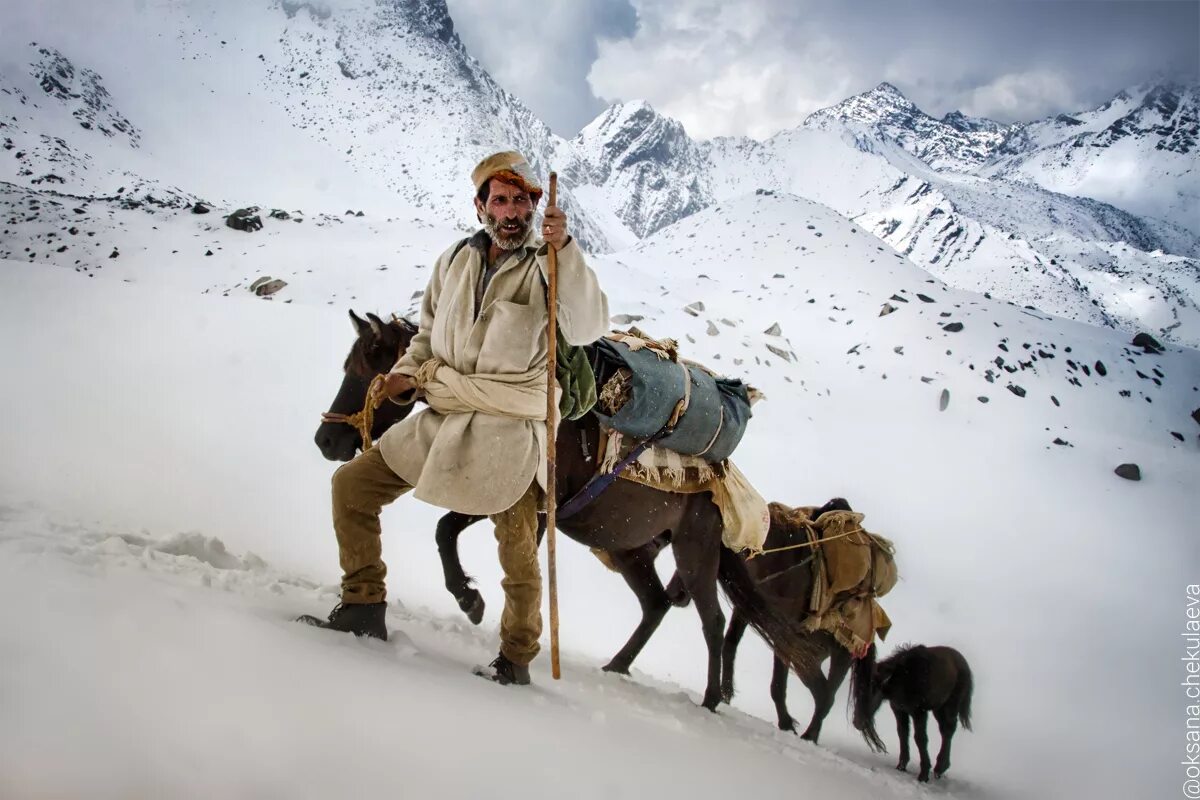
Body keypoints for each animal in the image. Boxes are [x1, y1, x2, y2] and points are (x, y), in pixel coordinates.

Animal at [312, 311, 825, 705]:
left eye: (368, 368)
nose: (326, 440)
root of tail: (722, 477)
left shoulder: (528, 505)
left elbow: (450, 531)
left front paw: (472, 602)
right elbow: (448, 532)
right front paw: (473, 602)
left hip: (694, 551)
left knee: (712, 621)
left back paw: (711, 698)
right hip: (629, 549)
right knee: (656, 604)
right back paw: (617, 665)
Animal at [849, 642, 979, 782]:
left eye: (871, 691)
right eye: (857, 690)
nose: (857, 722)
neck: (903, 678)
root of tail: (963, 663)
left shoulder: (918, 712)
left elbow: (920, 738)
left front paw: (923, 774)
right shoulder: (899, 710)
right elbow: (902, 733)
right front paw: (901, 765)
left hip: (950, 706)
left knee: (948, 730)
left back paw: (940, 767)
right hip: (938, 709)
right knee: (945, 731)